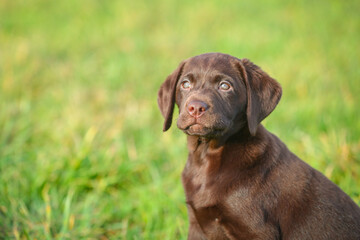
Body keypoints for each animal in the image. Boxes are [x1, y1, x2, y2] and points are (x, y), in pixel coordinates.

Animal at [158, 53, 360, 240]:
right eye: (185, 84)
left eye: (225, 86)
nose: (195, 108)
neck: (207, 156)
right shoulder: (197, 226)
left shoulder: (258, 230)